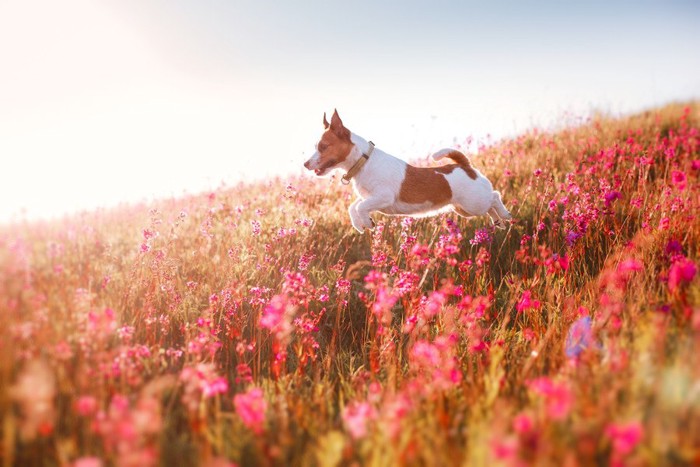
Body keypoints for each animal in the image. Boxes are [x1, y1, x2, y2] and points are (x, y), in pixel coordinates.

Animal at [304, 110, 512, 234]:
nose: (305, 164)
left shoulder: (383, 197)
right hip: (464, 209)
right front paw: (360, 224)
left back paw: (504, 214)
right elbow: (353, 206)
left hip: (473, 203)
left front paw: (366, 222)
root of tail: (464, 165)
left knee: (495, 196)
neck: (364, 161)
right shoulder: (370, 197)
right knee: (490, 207)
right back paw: (498, 221)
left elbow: (360, 206)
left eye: (323, 147)